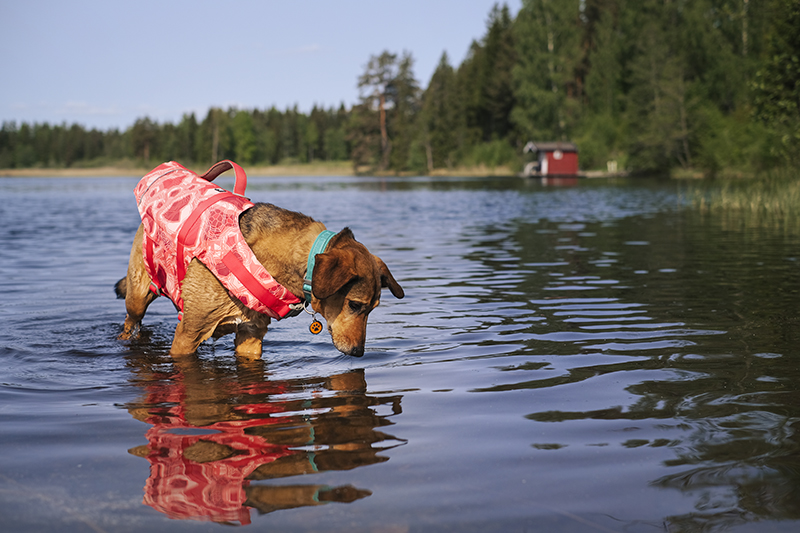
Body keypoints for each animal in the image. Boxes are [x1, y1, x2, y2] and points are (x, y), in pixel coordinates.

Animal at [115, 159, 404, 358]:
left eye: (373, 308)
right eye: (355, 305)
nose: (359, 353)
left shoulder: (251, 336)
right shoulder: (187, 336)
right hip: (138, 296)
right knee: (131, 321)